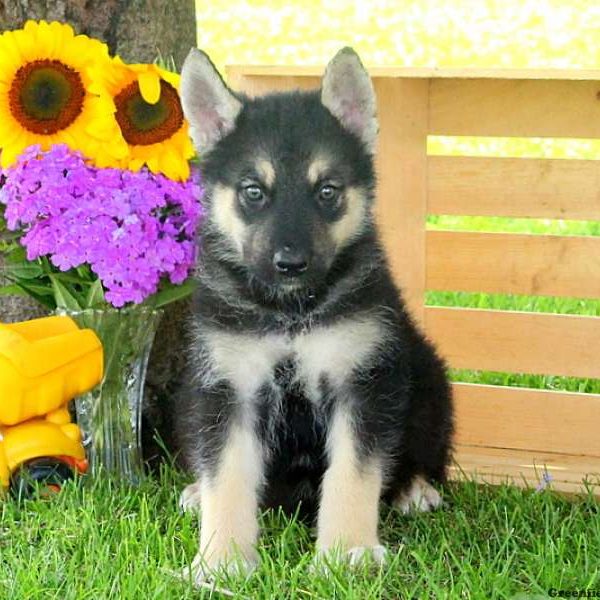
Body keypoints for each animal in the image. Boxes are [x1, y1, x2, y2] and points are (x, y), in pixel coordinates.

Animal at [173, 45, 454, 576]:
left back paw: (415, 489)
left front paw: (345, 553)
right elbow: (227, 477)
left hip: (428, 379)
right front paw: (221, 560)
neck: (290, 313)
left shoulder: (362, 383)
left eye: (327, 191)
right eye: (253, 191)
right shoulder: (230, 389)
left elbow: (353, 476)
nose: (290, 263)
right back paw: (197, 492)